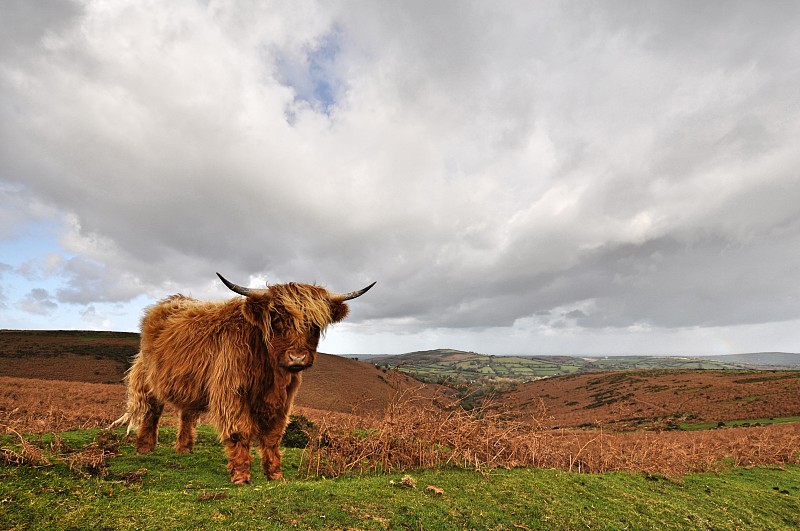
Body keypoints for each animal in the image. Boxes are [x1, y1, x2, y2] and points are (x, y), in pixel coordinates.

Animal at [111, 272, 374, 484]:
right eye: (276, 319)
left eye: (315, 324)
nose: (297, 357)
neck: (270, 371)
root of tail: (170, 301)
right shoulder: (231, 391)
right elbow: (239, 432)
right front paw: (241, 476)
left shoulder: (283, 400)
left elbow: (272, 437)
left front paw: (276, 475)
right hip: (149, 377)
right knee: (152, 411)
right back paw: (144, 448)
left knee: (187, 413)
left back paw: (184, 450)